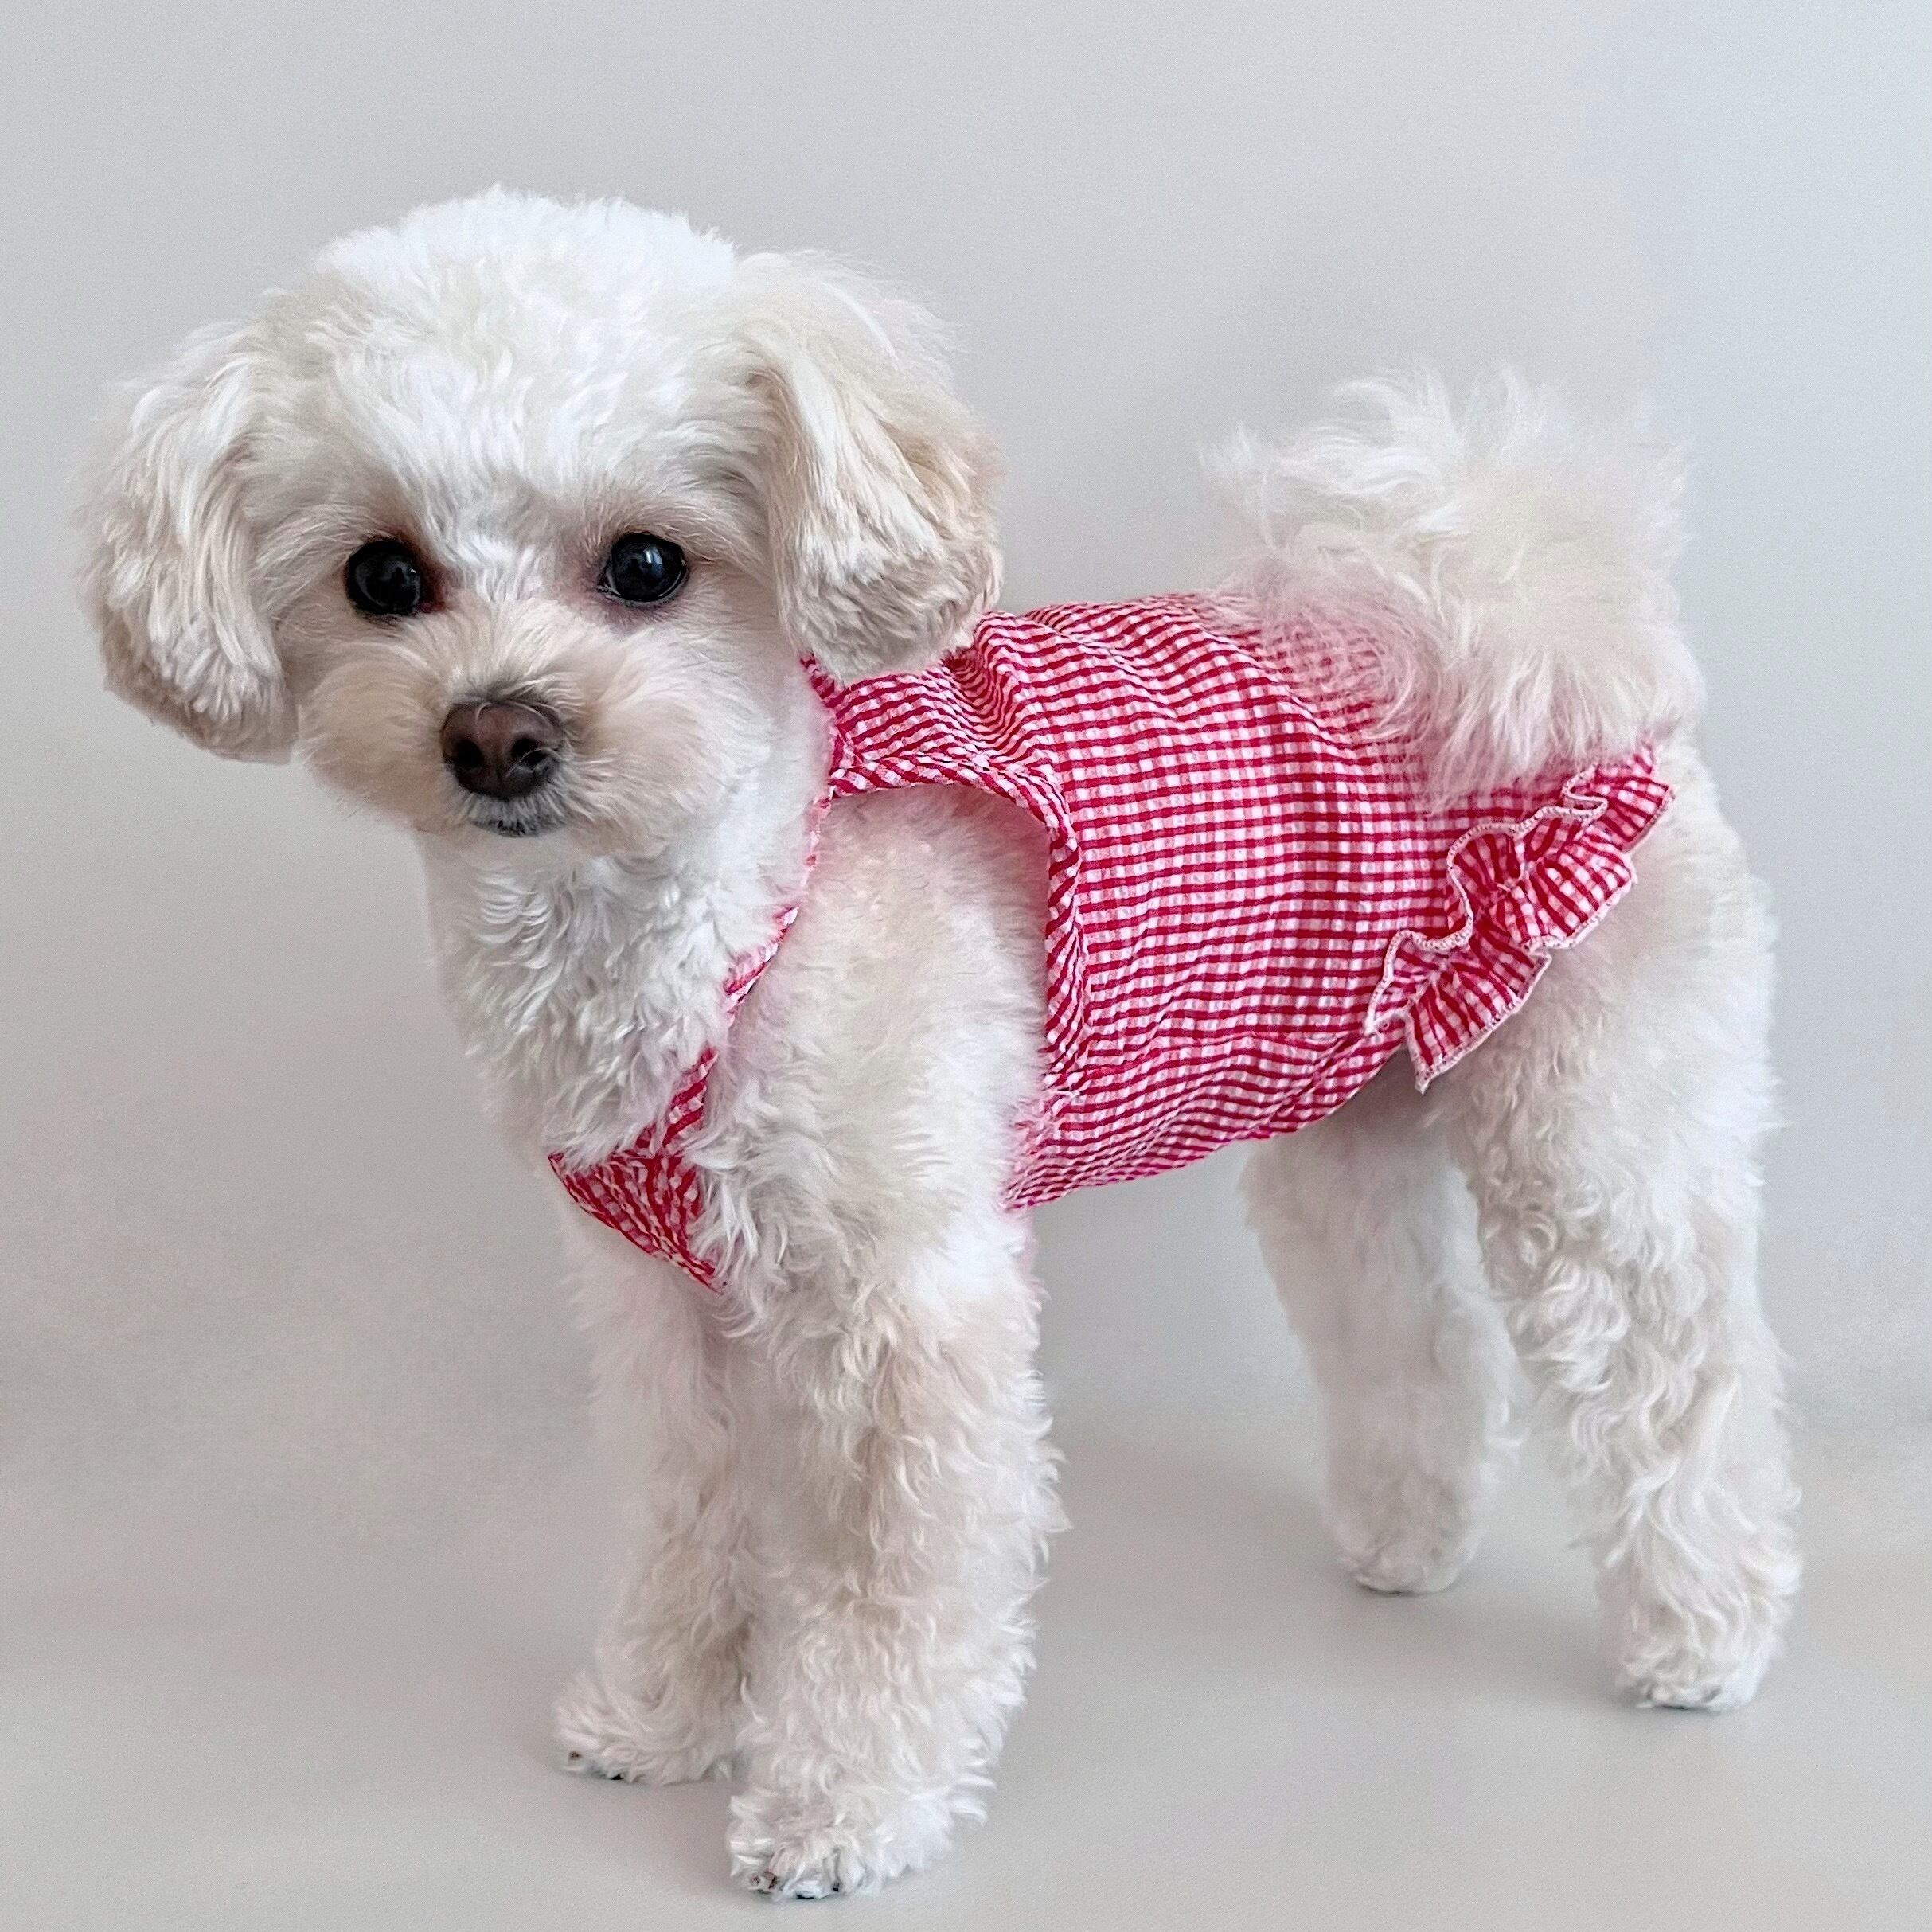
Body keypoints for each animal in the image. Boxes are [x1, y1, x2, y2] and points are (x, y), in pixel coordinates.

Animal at [78, 190, 1798, 1899]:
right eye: (381, 576)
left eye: (647, 563)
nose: (498, 732)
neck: (722, 909)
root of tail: (1533, 595)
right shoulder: (660, 1302)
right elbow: (687, 1521)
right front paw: (657, 1713)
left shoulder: (899, 1301)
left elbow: (886, 1576)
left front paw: (843, 1805)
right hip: (1344, 1113)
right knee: (1411, 1335)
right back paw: (1406, 1544)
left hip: (1592, 1132)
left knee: (1676, 1371)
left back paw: (1703, 1634)